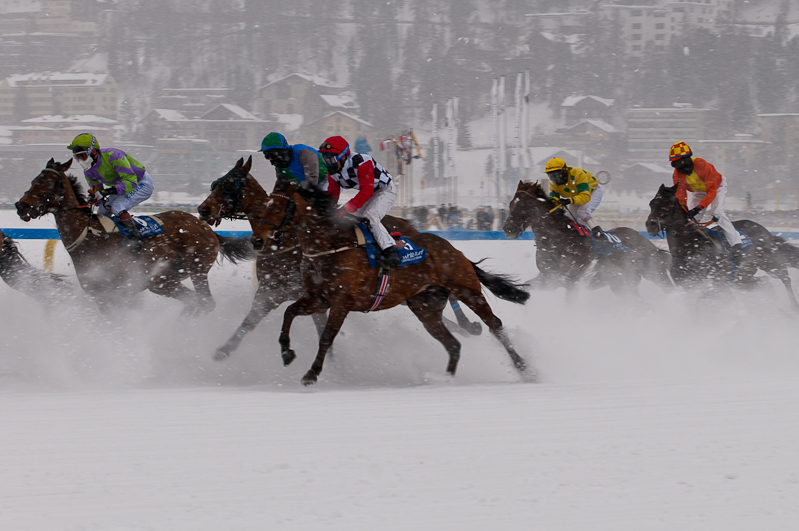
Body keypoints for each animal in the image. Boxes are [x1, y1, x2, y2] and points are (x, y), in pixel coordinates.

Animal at [15, 158, 253, 316]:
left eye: (47, 182)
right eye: (34, 180)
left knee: (205, 303)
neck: (90, 236)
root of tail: (207, 229)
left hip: (196, 269)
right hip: (164, 280)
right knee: (193, 302)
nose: (21, 205)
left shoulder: (116, 294)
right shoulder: (104, 297)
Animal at [197, 154, 484, 362]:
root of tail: (413, 228)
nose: (203, 210)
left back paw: (469, 325)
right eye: (214, 183)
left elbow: (318, 327)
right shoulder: (271, 290)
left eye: (230, 183)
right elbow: (250, 321)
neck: (287, 242)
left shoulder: (308, 294)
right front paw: (224, 350)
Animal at [244, 183, 532, 386]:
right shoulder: (318, 298)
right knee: (453, 344)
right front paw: (286, 352)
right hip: (425, 308)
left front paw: (312, 373)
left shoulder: (342, 302)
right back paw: (445, 379)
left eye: (276, 208)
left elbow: (326, 337)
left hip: (467, 290)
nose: (257, 241)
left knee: (495, 325)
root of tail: (456, 251)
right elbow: (289, 311)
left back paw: (525, 368)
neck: (330, 244)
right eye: (262, 207)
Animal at [504, 181, 672, 298]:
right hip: (622, 284)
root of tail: (649, 244)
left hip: (654, 272)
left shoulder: (573, 281)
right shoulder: (548, 278)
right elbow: (527, 286)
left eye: (527, 204)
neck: (558, 240)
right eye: (511, 203)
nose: (508, 229)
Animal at [644, 183, 799, 310]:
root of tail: (765, 231)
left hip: (772, 263)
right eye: (651, 203)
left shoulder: (717, 284)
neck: (689, 249)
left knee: (785, 279)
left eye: (667, 202)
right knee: (765, 283)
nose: (650, 225)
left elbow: (703, 301)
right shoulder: (687, 286)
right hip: (743, 279)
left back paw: (792, 308)